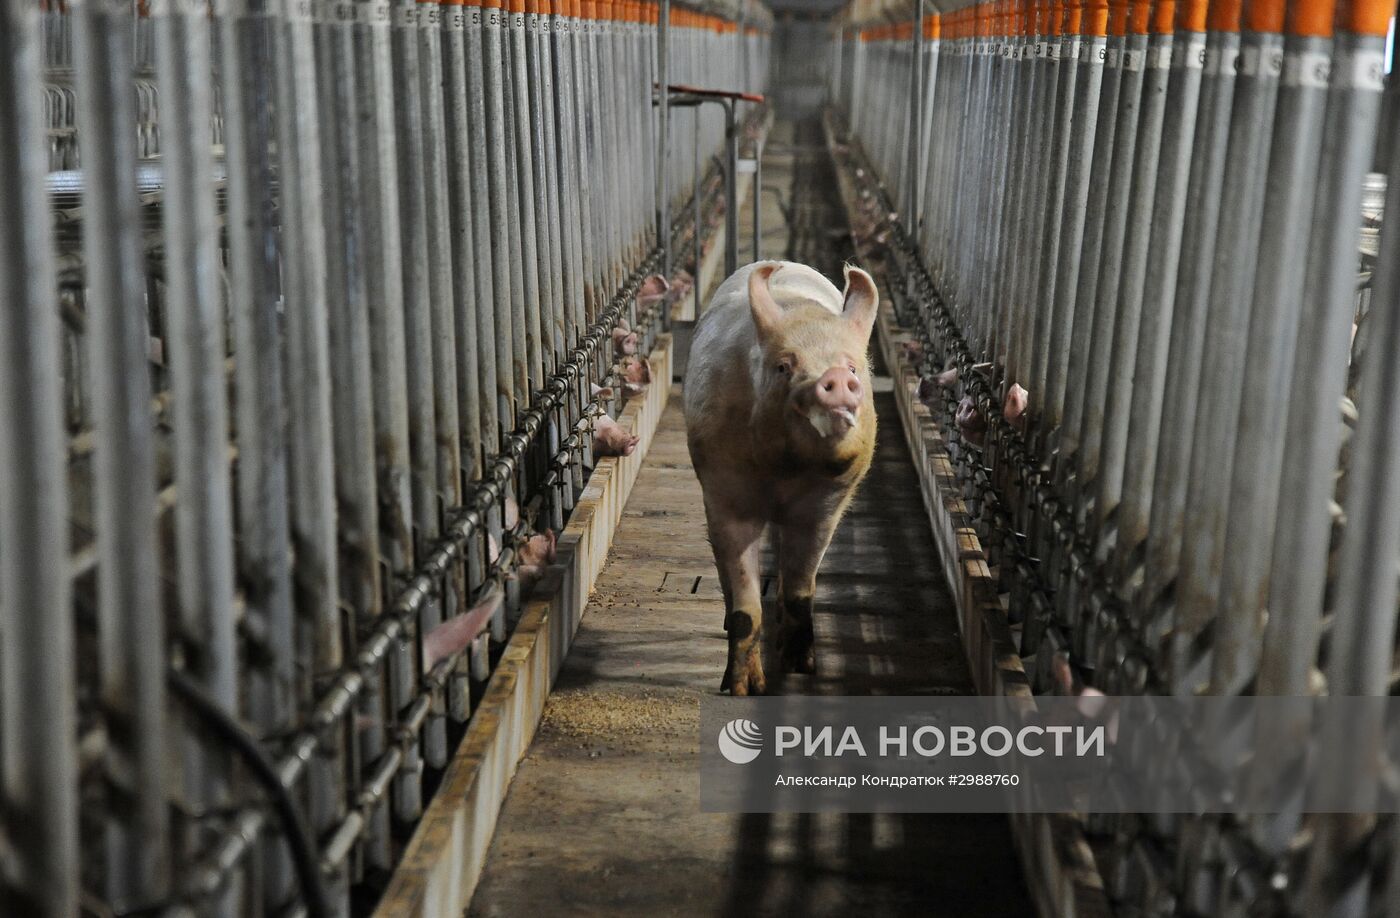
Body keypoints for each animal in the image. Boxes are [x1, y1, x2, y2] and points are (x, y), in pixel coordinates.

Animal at [686, 261, 879, 691]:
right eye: (784, 367)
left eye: (852, 366)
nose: (837, 378)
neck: (786, 472)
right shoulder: (725, 491)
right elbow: (745, 604)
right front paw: (742, 688)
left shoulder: (825, 504)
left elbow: (799, 590)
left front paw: (800, 668)